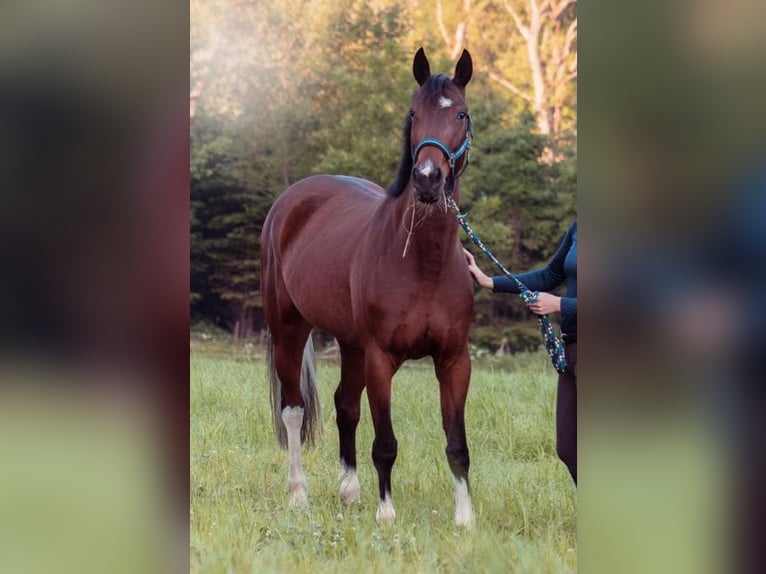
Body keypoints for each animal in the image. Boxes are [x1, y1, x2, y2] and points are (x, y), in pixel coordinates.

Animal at [260, 47, 476, 527]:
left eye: (461, 115)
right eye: (414, 114)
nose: (428, 178)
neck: (424, 263)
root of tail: (292, 199)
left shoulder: (454, 360)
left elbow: (457, 443)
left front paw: (466, 519)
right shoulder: (381, 358)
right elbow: (386, 442)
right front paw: (386, 514)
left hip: (351, 342)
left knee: (345, 405)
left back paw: (349, 491)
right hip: (289, 329)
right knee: (293, 409)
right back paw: (299, 495)